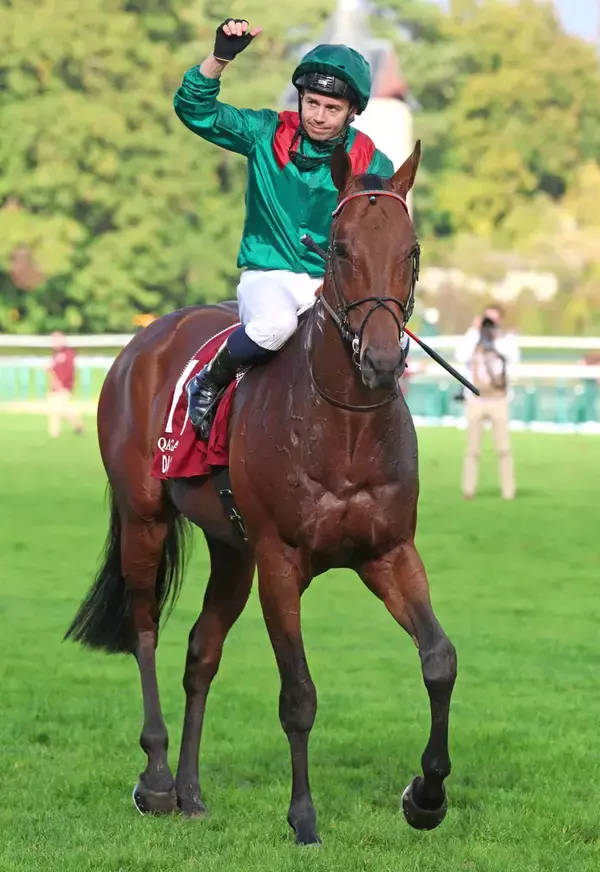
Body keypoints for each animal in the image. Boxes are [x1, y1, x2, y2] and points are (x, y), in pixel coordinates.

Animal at [66, 141, 457, 846]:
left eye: (411, 250)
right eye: (339, 248)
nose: (383, 360)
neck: (343, 426)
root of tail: (147, 337)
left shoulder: (388, 552)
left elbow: (438, 658)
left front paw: (427, 795)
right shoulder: (280, 561)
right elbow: (297, 693)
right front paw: (303, 817)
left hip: (232, 551)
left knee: (201, 651)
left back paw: (191, 792)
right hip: (145, 519)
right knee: (144, 631)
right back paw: (157, 779)